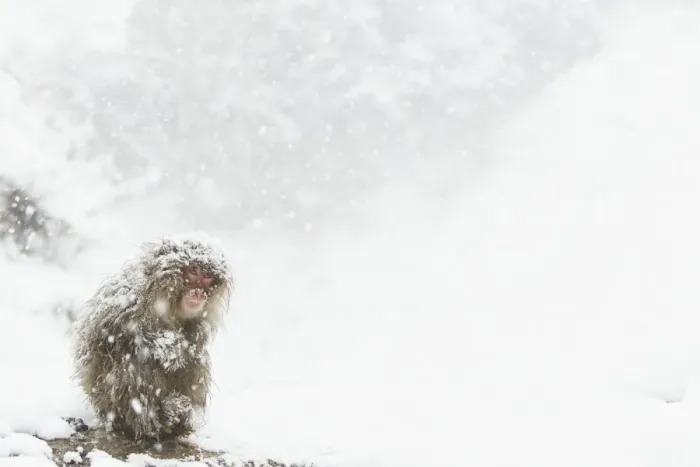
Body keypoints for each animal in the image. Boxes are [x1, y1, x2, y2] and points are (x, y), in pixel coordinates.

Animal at [72, 234, 233, 441]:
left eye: (207, 277)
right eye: (193, 271)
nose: (198, 292)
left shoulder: (198, 321)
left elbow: (194, 347)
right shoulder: (130, 299)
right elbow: (111, 332)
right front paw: (169, 348)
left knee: (197, 361)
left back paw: (179, 422)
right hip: (107, 400)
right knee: (134, 359)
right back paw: (154, 421)